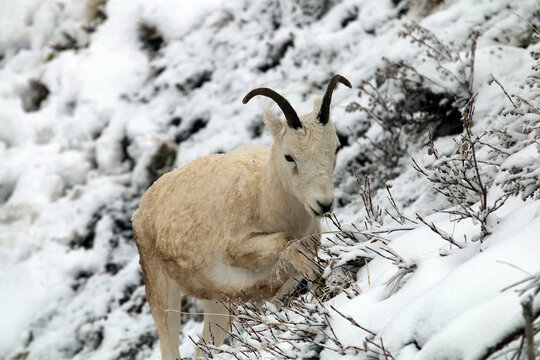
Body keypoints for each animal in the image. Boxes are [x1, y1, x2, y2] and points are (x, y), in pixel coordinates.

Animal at [133, 74, 352, 358]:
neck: (263, 195)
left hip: (219, 306)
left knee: (203, 349)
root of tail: (143, 208)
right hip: (162, 294)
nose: (323, 204)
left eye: (335, 148)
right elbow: (285, 240)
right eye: (289, 156)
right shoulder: (238, 250)